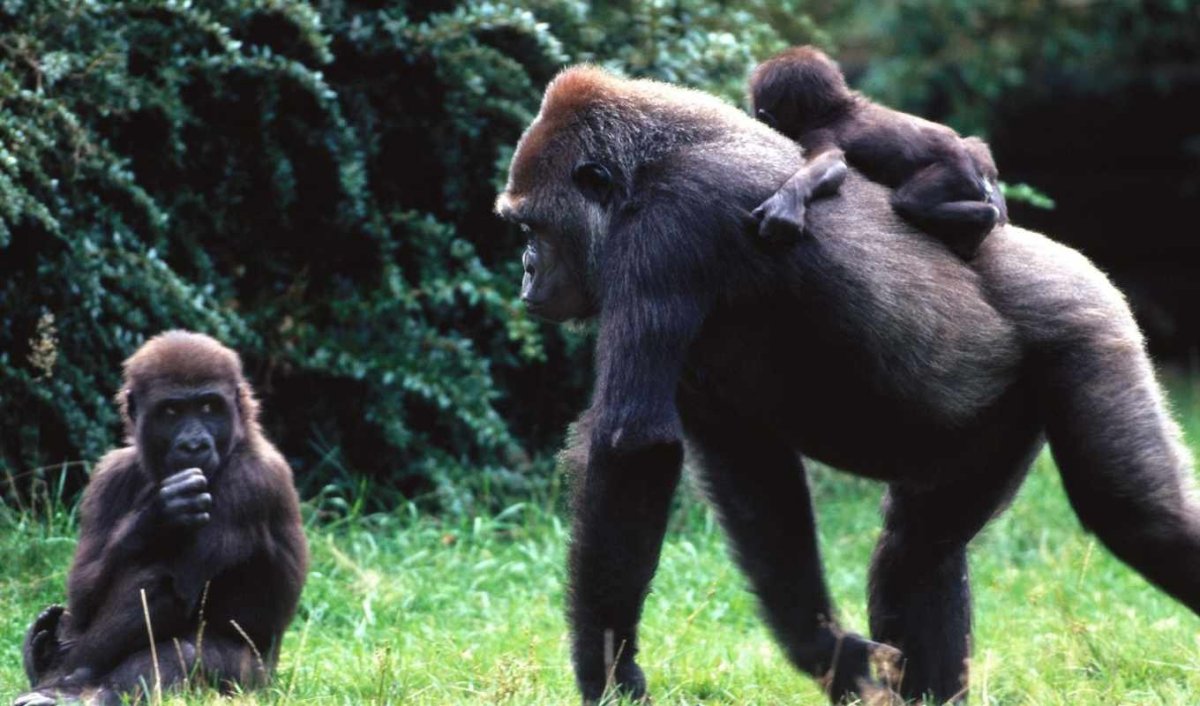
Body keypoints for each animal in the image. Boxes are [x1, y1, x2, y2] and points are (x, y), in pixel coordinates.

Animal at [16, 331, 307, 706]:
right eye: (171, 411)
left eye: (209, 407)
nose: (195, 445)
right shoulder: (110, 473)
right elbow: (84, 592)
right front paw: (155, 516)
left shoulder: (251, 481)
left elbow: (168, 588)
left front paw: (63, 681)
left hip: (255, 684)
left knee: (183, 650)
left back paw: (88, 690)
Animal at [753, 46, 1008, 259]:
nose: (759, 118)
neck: (837, 110)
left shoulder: (817, 133)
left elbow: (830, 164)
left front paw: (786, 202)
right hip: (976, 157)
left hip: (957, 172)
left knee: (909, 202)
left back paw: (983, 221)